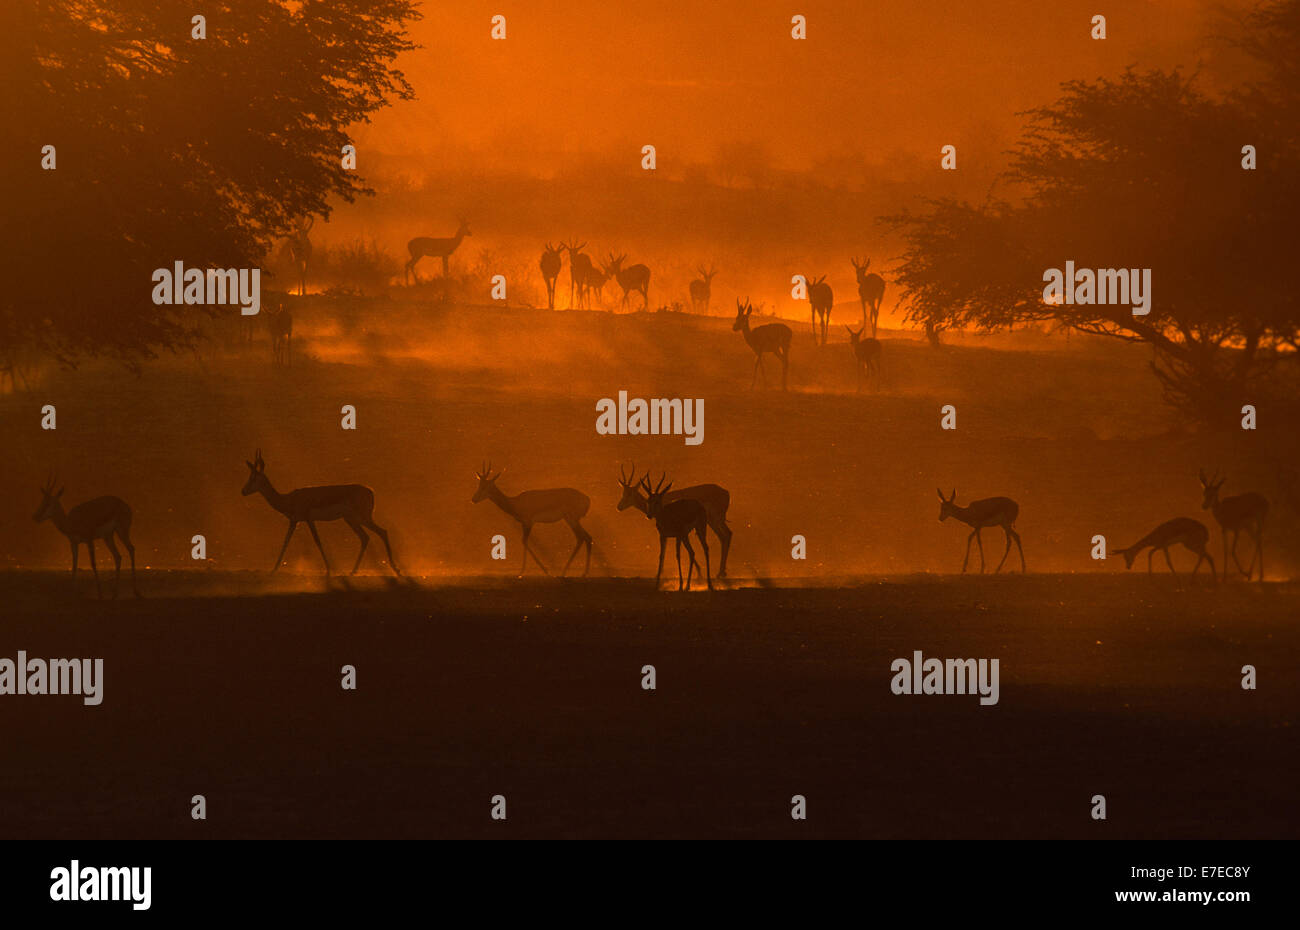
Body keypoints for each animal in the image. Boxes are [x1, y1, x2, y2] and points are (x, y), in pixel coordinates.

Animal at [241, 450, 397, 574]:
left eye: (253, 478)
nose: (243, 491)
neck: (288, 499)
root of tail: (370, 491)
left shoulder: (309, 519)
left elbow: (317, 541)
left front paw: (328, 569)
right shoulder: (294, 521)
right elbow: (285, 542)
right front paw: (273, 569)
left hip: (361, 517)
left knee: (381, 532)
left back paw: (395, 569)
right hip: (351, 519)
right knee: (366, 537)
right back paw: (354, 571)